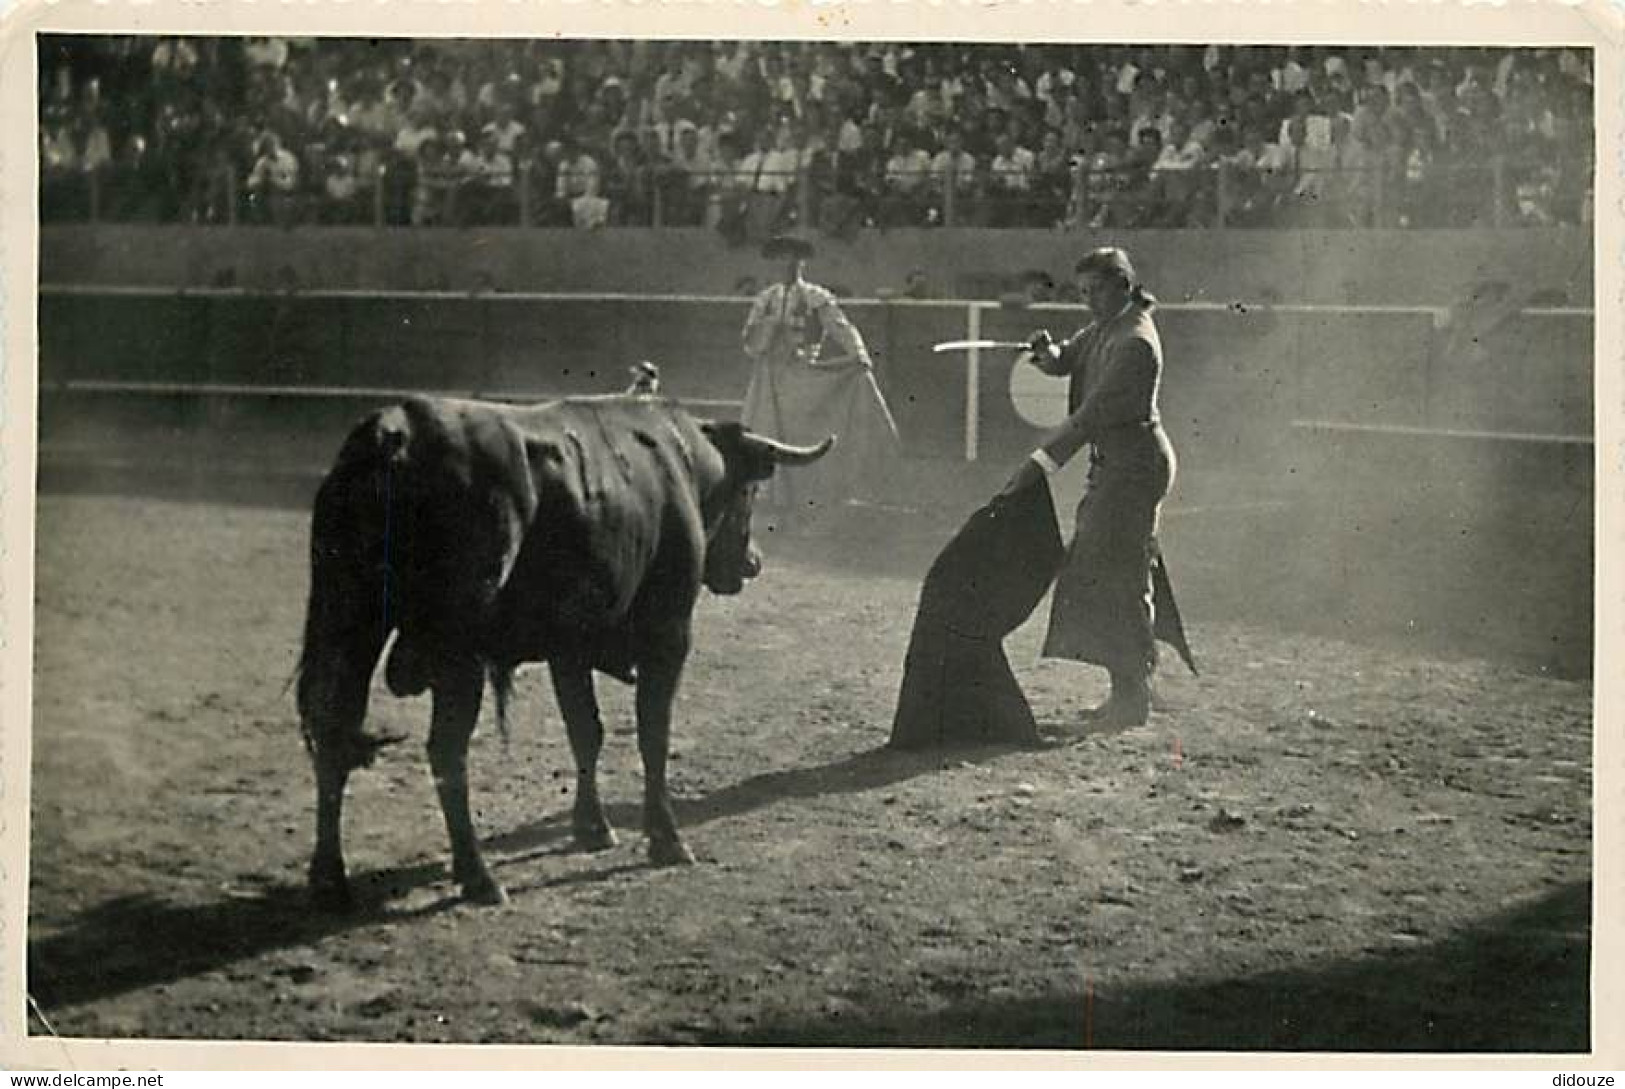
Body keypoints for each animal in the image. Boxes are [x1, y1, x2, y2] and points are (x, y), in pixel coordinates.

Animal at [294, 396, 832, 910]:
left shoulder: (569, 648)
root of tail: (396, 431)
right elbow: (652, 735)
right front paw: (667, 840)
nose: (753, 563)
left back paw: (330, 879)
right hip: (455, 651)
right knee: (445, 751)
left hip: (349, 623)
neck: (682, 461)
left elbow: (585, 732)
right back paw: (477, 876)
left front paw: (592, 827)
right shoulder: (669, 633)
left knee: (334, 736)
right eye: (750, 492)